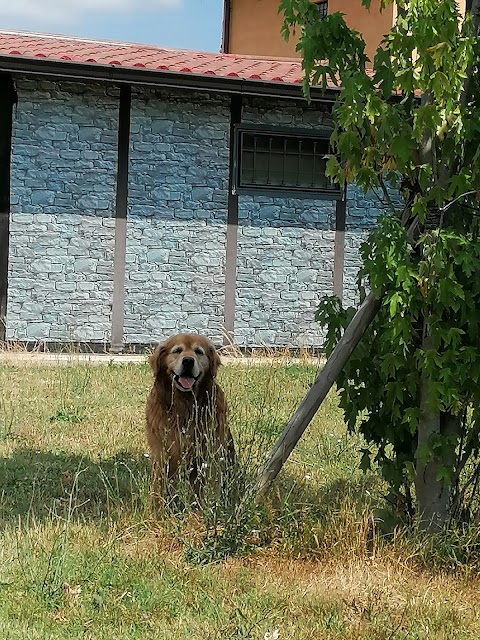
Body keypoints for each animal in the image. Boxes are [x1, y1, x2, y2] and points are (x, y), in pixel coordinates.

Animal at [146, 332, 236, 502]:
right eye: (177, 350)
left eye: (199, 352)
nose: (188, 360)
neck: (184, 405)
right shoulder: (162, 454)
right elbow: (159, 488)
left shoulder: (206, 456)